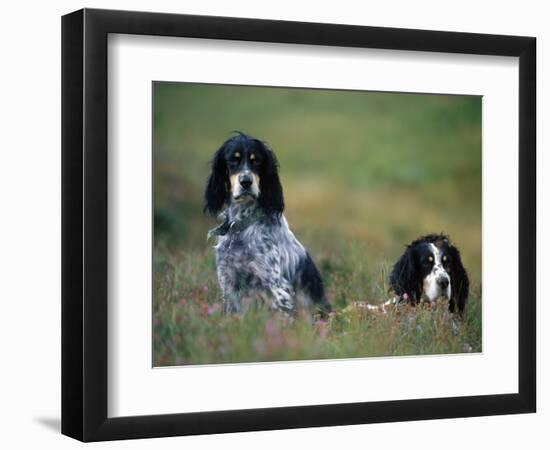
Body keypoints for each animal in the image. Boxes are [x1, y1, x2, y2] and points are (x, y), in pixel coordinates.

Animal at [204, 132, 330, 318]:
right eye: (233, 160)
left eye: (256, 161)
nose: (246, 182)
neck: (243, 225)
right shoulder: (229, 282)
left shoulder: (279, 288)